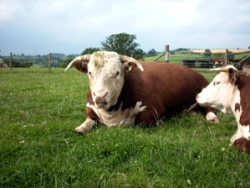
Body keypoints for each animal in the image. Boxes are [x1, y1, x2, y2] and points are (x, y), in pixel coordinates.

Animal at [65, 50, 219, 133]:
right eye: (90, 72)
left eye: (117, 73)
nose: (100, 96)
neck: (112, 114)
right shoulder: (91, 108)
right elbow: (87, 122)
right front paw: (79, 128)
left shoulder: (151, 111)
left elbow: (141, 123)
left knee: (210, 109)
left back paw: (212, 117)